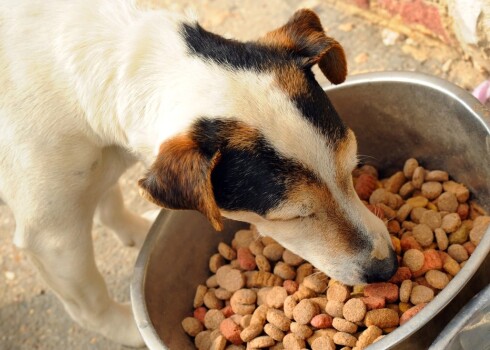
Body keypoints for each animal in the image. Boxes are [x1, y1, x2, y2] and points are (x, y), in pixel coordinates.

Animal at [0, 0, 396, 346]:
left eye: (351, 169)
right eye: (293, 217)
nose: (388, 269)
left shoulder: (92, 170)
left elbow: (109, 204)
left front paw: (135, 232)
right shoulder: (53, 236)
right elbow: (90, 301)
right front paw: (129, 330)